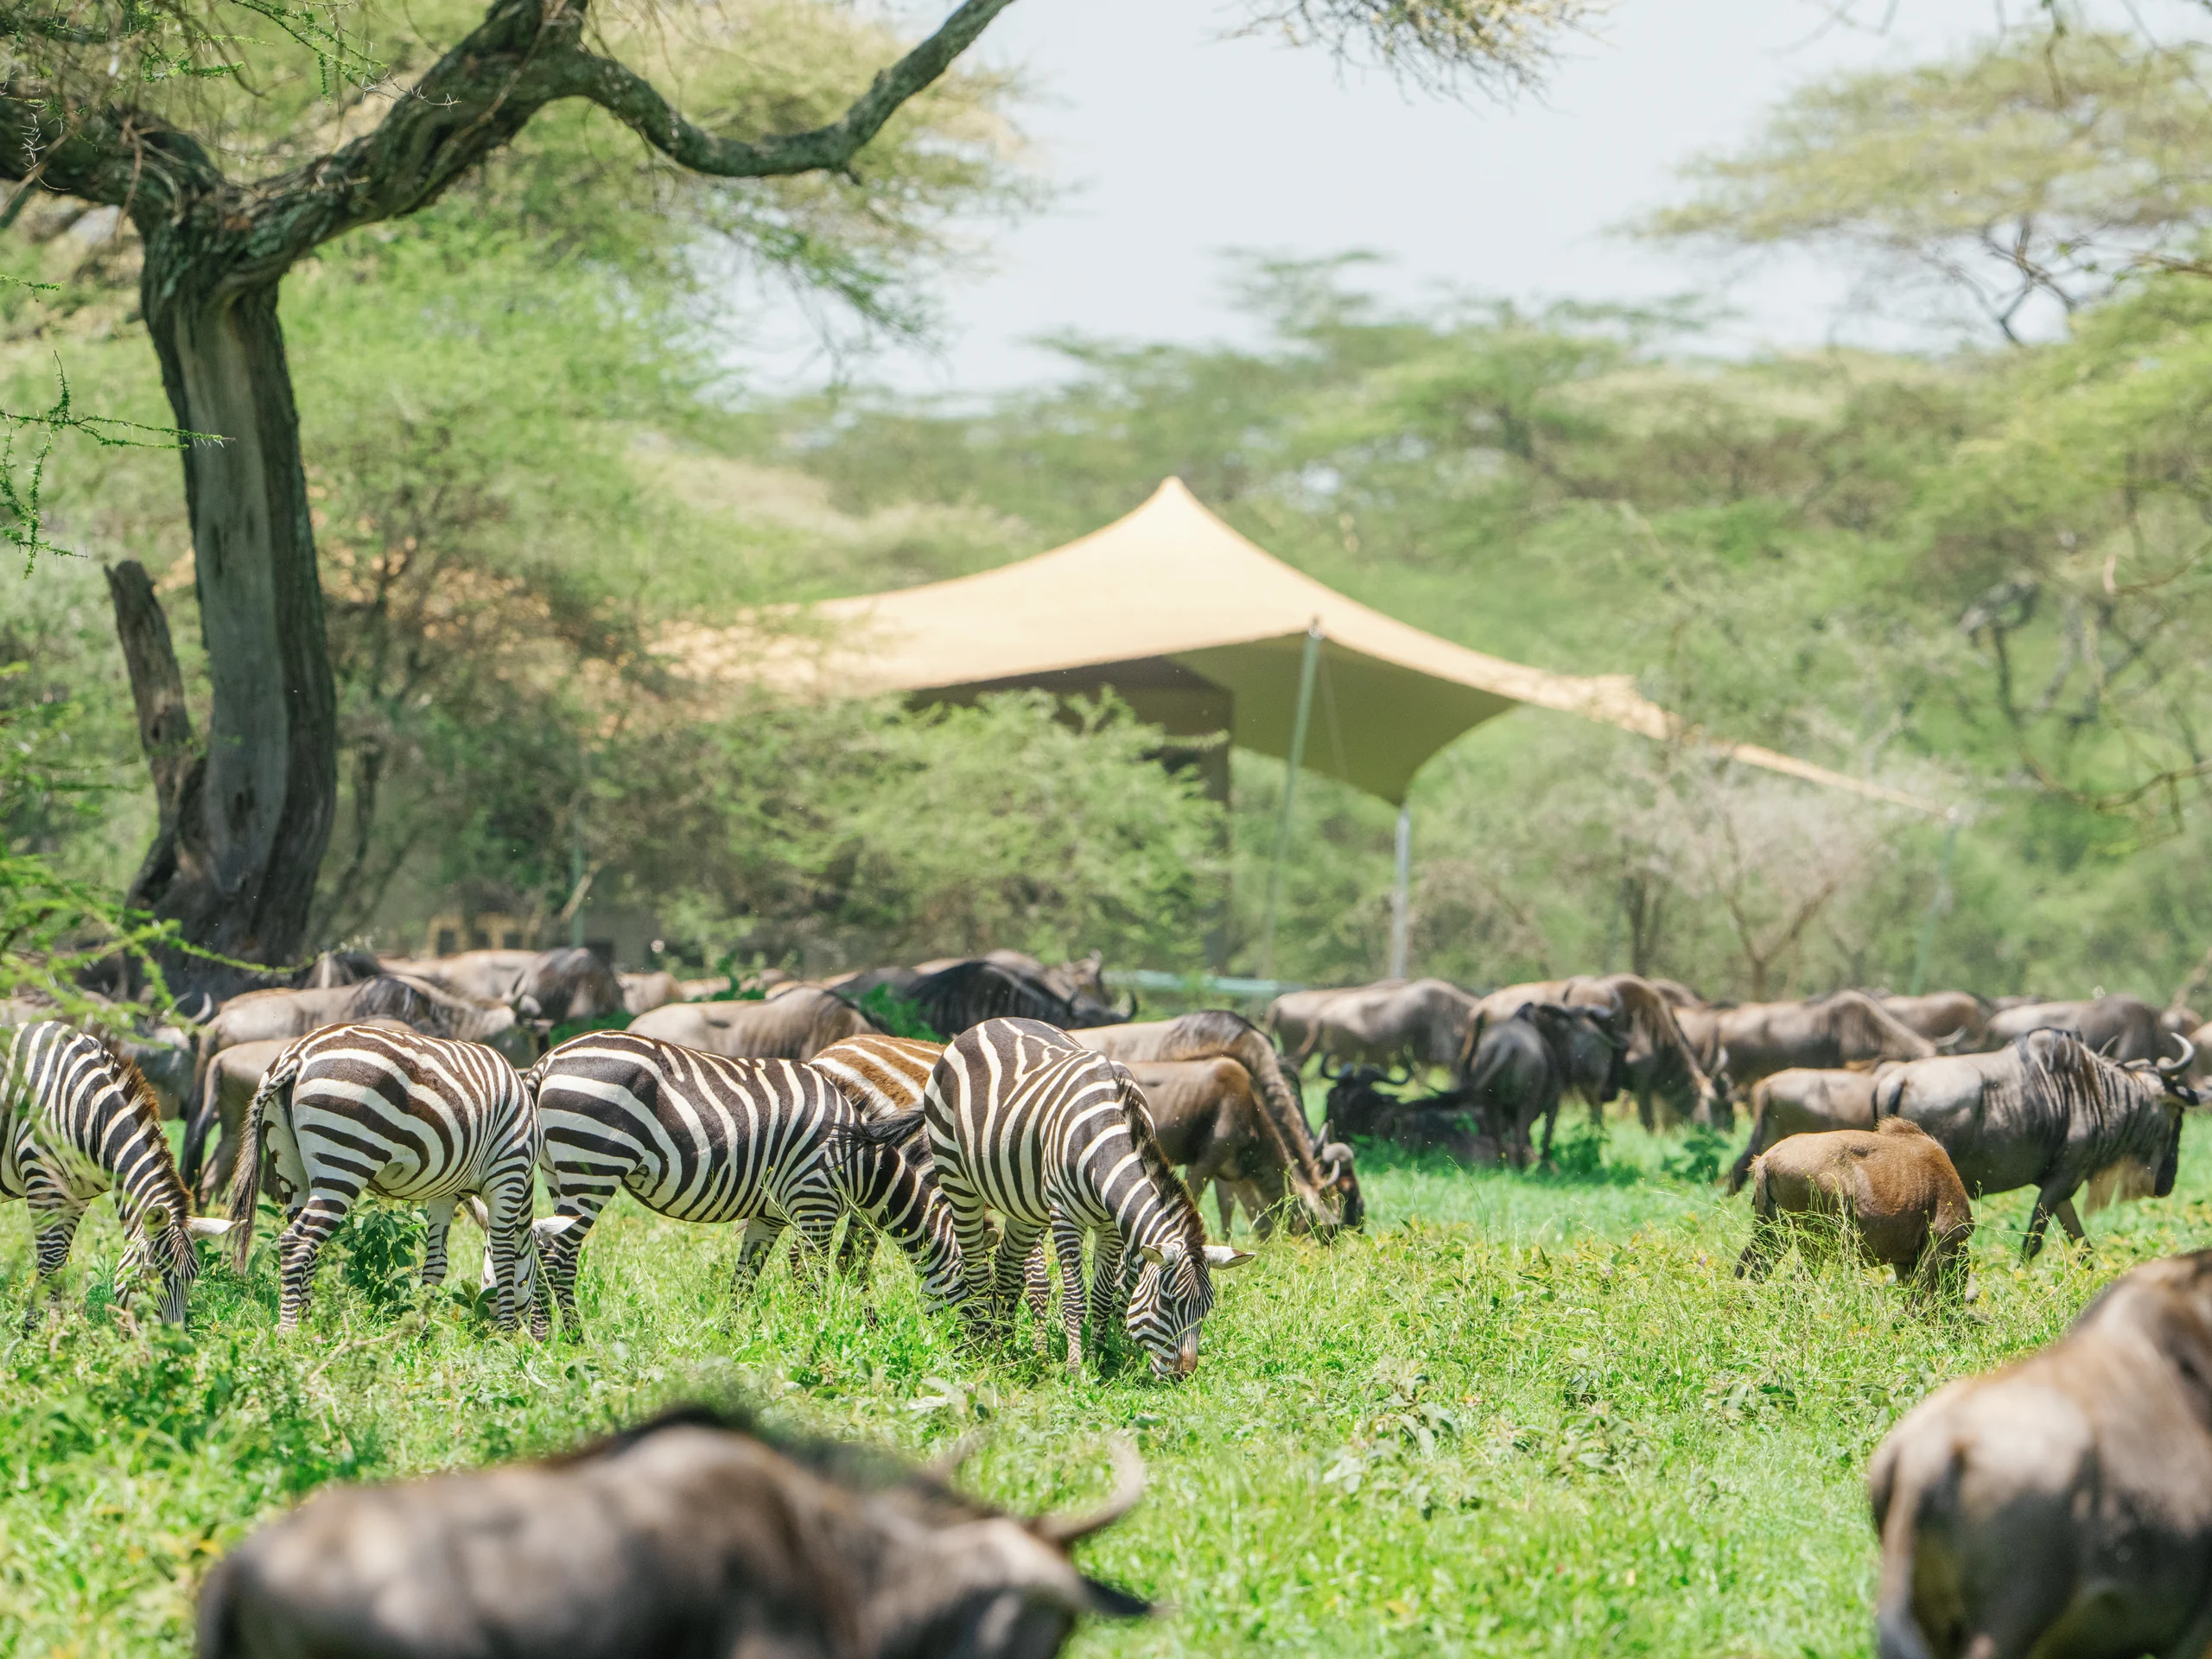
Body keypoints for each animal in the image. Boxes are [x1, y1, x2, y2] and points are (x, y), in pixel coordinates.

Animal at [2, 1021, 231, 1330]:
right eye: (149, 1274)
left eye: (193, 1277)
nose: (171, 1340)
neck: (86, 1107)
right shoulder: (42, 1181)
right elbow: (50, 1261)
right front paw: (35, 1333)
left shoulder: (77, 1195)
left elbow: (59, 1261)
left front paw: (59, 1331)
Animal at [226, 1023, 554, 1335]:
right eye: (539, 1272)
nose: (541, 1335)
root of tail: (297, 1056)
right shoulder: (509, 1173)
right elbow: (505, 1256)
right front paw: (507, 1335)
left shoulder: (446, 1194)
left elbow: (437, 1264)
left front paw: (420, 1332)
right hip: (344, 1160)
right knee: (297, 1240)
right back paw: (290, 1331)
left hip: (290, 1165)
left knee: (306, 1241)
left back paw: (308, 1327)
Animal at [527, 1031, 963, 1338]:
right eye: (977, 1292)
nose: (971, 1354)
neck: (859, 1164)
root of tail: (548, 1060)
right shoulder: (815, 1202)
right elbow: (809, 1275)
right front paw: (815, 1333)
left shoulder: (768, 1217)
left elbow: (745, 1279)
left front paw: (729, 1338)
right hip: (593, 1167)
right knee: (557, 1256)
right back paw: (571, 1339)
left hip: (558, 1173)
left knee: (542, 1250)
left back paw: (546, 1338)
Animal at [861, 1018, 1250, 1380]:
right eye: (1168, 1303)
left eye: (1206, 1309)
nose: (1184, 1375)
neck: (1107, 1140)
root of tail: (984, 1024)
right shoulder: (1065, 1217)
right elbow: (1075, 1297)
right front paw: (1075, 1368)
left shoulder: (1109, 1225)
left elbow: (1102, 1296)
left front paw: (1099, 1359)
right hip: (957, 1179)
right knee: (975, 1267)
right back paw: (982, 1346)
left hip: (1024, 1205)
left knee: (1006, 1266)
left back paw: (1006, 1349)